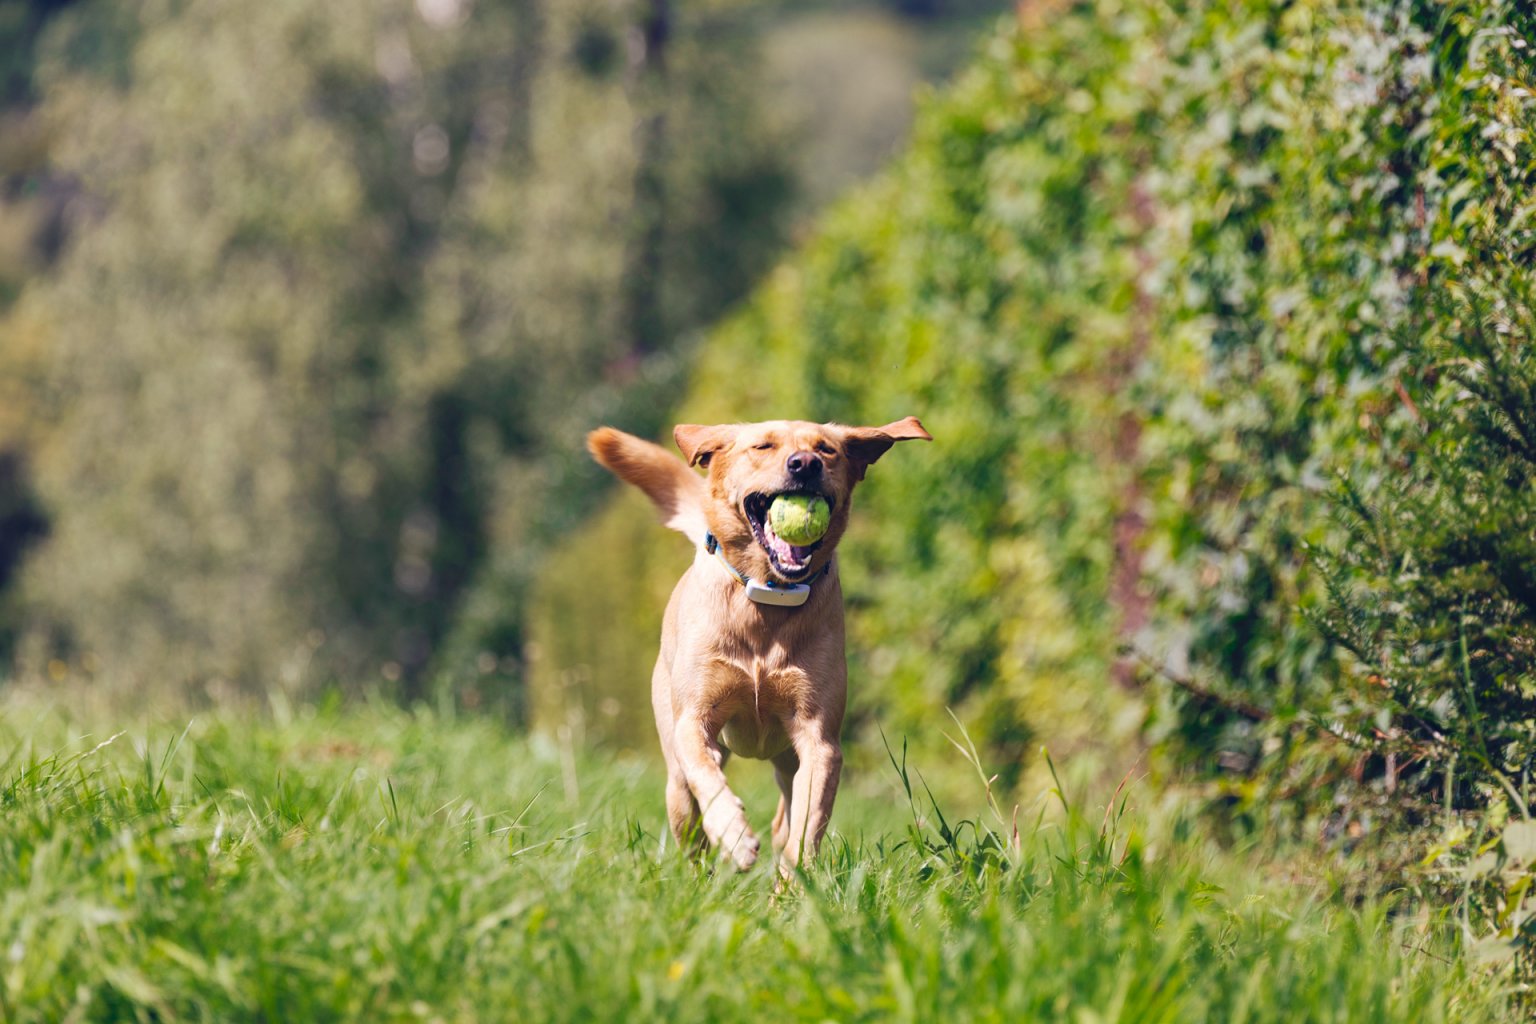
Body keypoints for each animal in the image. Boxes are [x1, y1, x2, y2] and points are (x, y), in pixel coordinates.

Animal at [583, 417, 927, 872]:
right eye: (763, 446)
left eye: (827, 449)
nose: (805, 464)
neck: (768, 597)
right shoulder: (693, 719)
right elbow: (706, 773)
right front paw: (734, 834)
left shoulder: (820, 741)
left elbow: (805, 829)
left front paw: (793, 882)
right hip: (677, 784)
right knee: (691, 822)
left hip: (787, 761)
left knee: (784, 817)